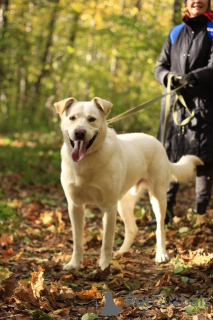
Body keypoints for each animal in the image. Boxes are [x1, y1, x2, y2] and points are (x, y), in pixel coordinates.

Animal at [54, 97, 202, 270]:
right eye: (72, 118)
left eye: (92, 119)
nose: (79, 133)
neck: (86, 161)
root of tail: (158, 143)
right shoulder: (75, 206)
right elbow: (77, 240)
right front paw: (74, 264)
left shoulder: (109, 208)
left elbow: (107, 242)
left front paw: (104, 267)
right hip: (123, 202)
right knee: (132, 228)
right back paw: (122, 252)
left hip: (157, 198)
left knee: (160, 228)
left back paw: (161, 254)